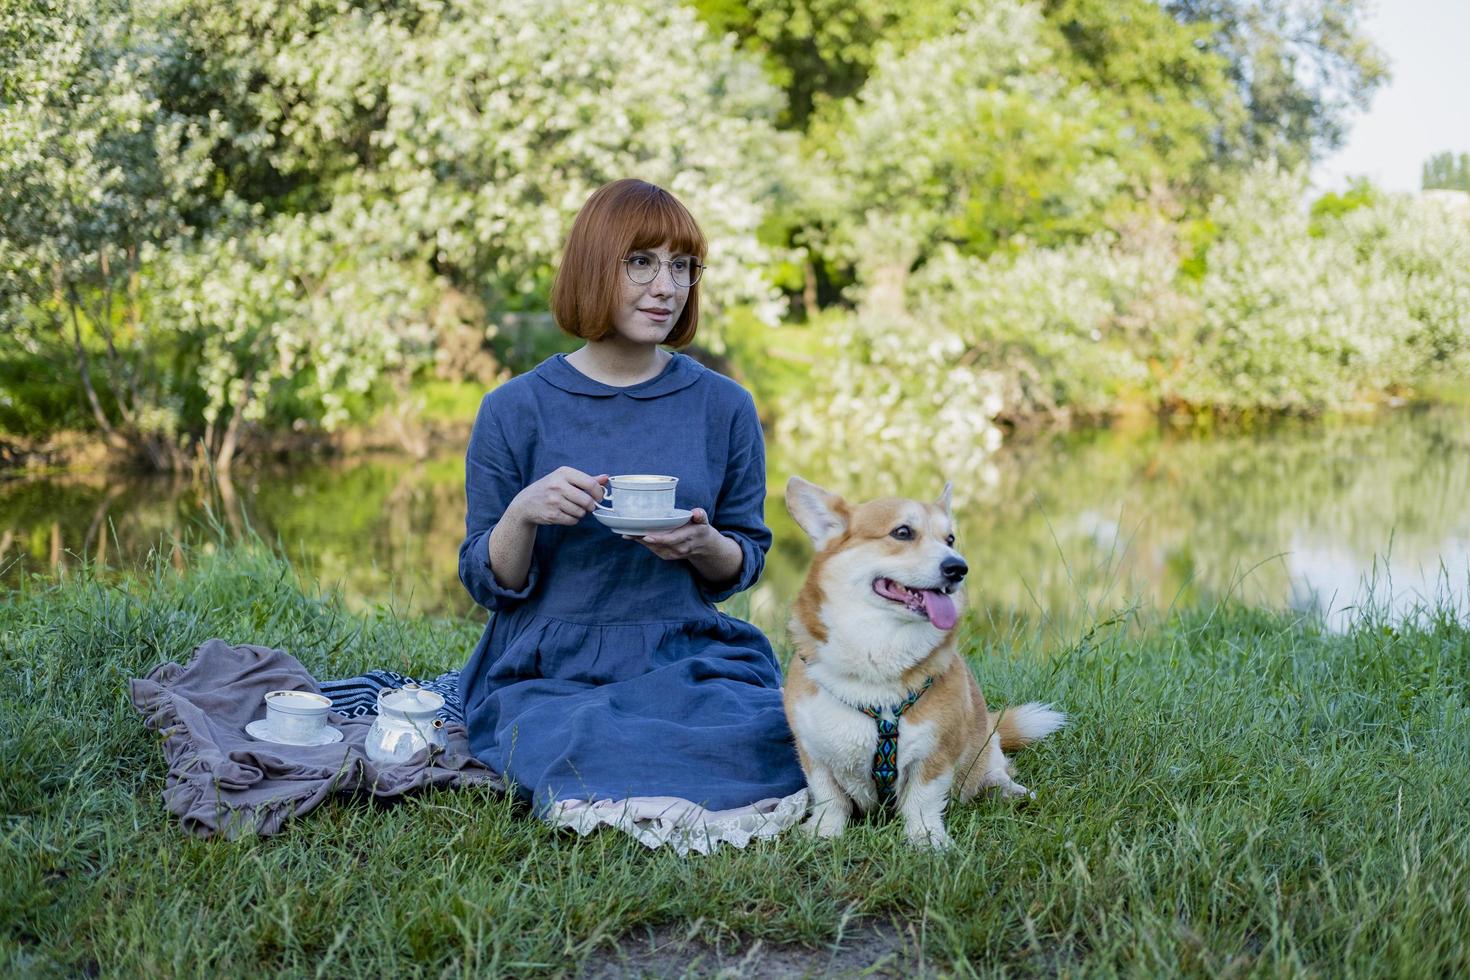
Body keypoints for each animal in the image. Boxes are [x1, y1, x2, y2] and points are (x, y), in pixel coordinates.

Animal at [782, 478, 1070, 846]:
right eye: (903, 532)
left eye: (950, 539)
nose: (959, 568)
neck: (878, 655)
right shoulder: (813, 753)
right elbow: (829, 798)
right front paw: (824, 833)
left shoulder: (936, 754)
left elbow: (922, 800)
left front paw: (927, 840)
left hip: (984, 743)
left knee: (995, 770)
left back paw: (1010, 791)